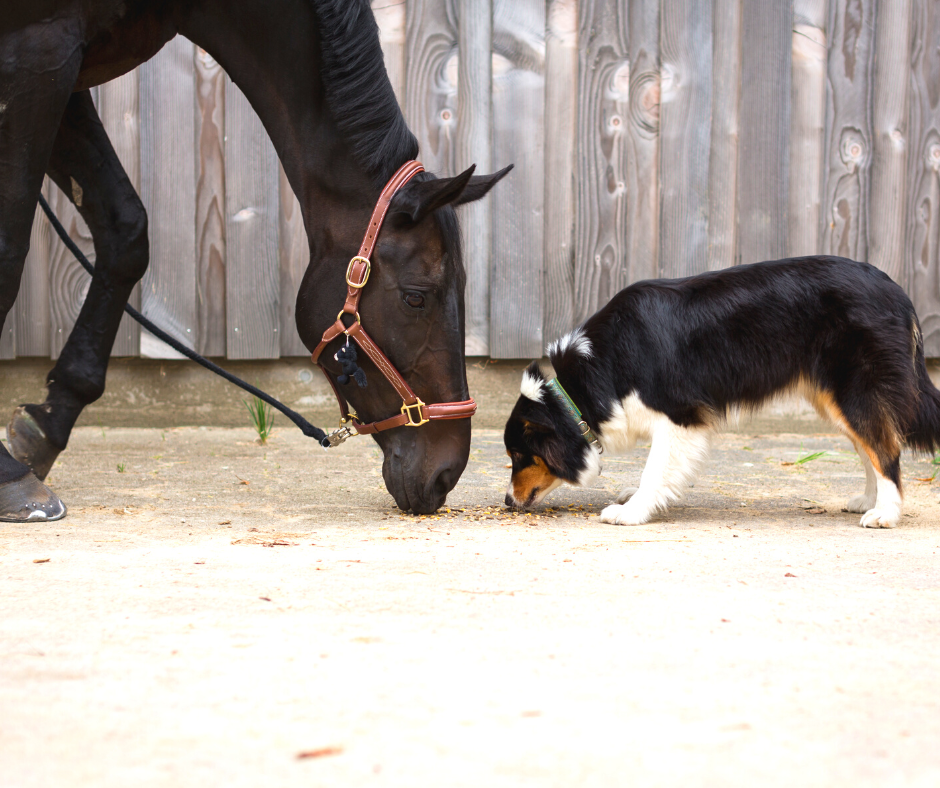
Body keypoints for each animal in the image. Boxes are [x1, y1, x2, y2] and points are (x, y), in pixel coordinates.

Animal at [0, 1, 510, 524]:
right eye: (415, 298)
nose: (446, 472)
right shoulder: (38, 55)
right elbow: (8, 255)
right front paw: (12, 478)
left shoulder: (67, 72)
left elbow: (126, 231)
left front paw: (45, 427)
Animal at [504, 258, 940, 528]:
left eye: (520, 455)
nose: (507, 501)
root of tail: (899, 292)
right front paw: (635, 498)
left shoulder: (679, 417)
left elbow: (655, 468)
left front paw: (632, 511)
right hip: (836, 399)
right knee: (871, 446)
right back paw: (870, 501)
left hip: (855, 391)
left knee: (885, 448)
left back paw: (885, 514)